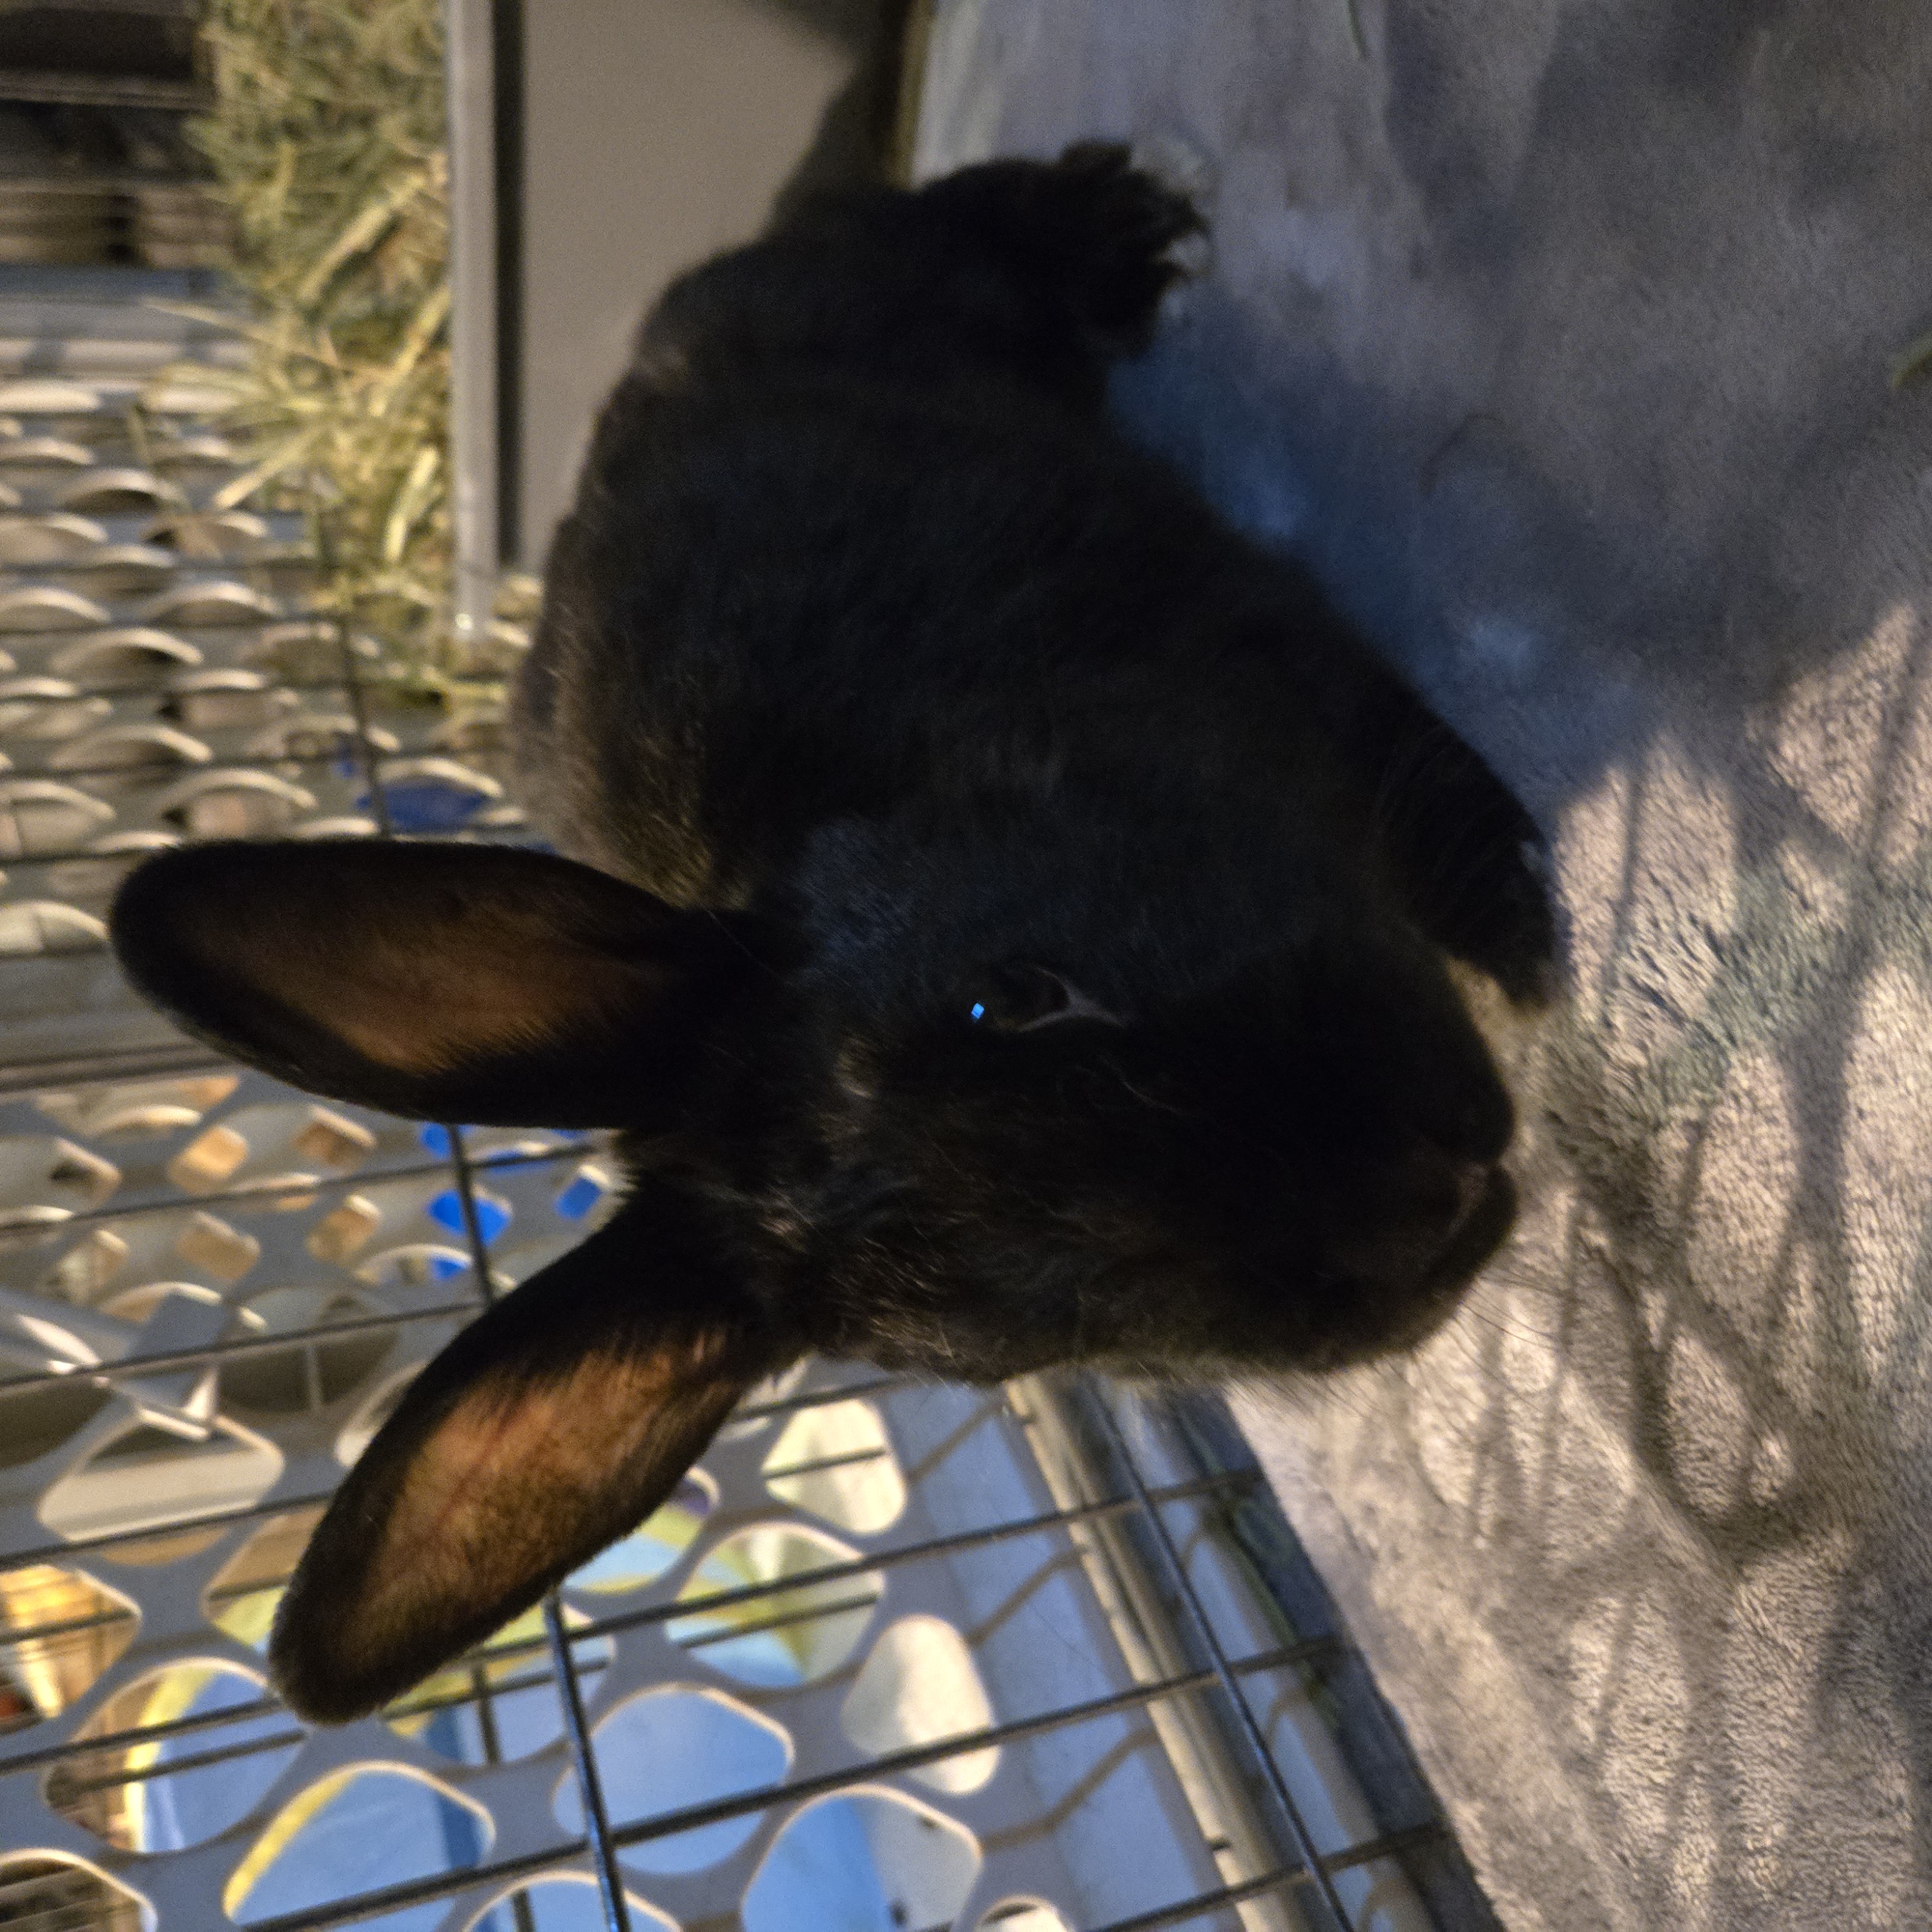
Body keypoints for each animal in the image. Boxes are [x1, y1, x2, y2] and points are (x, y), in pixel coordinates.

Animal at [109, 142, 1555, 1724]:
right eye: (1024, 1340)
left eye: (1017, 995)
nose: (1427, 1197)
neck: (909, 786)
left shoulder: (1253, 633)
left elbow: (1424, 781)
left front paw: (1530, 925)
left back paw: (1123, 225)